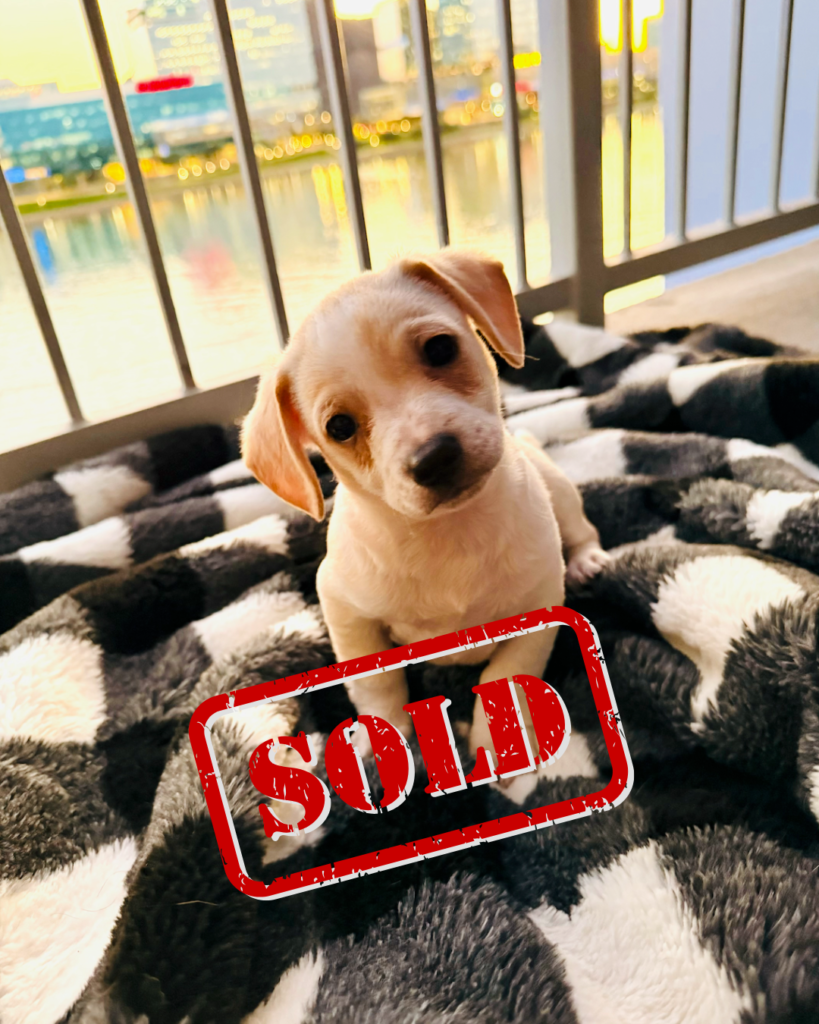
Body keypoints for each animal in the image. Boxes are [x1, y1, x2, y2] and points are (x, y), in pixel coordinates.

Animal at [243, 248, 606, 761]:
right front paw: (385, 736)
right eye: (339, 427)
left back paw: (589, 560)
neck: (447, 534)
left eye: (439, 348)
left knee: (582, 530)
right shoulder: (347, 613)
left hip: (559, 492)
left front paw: (500, 742)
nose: (434, 458)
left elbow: (506, 679)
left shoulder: (539, 610)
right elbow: (378, 685)